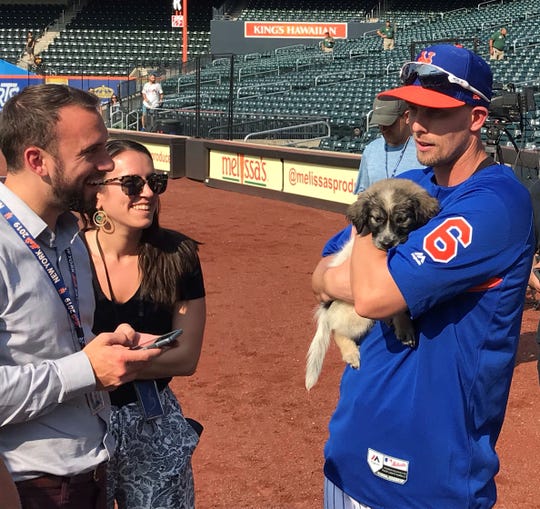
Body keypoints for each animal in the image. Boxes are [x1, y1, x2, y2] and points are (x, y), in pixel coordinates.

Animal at [304, 179, 438, 388]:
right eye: (376, 219)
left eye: (402, 219)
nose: (387, 243)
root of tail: (326, 310)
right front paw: (404, 327)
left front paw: (402, 326)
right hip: (357, 316)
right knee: (337, 331)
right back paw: (351, 353)